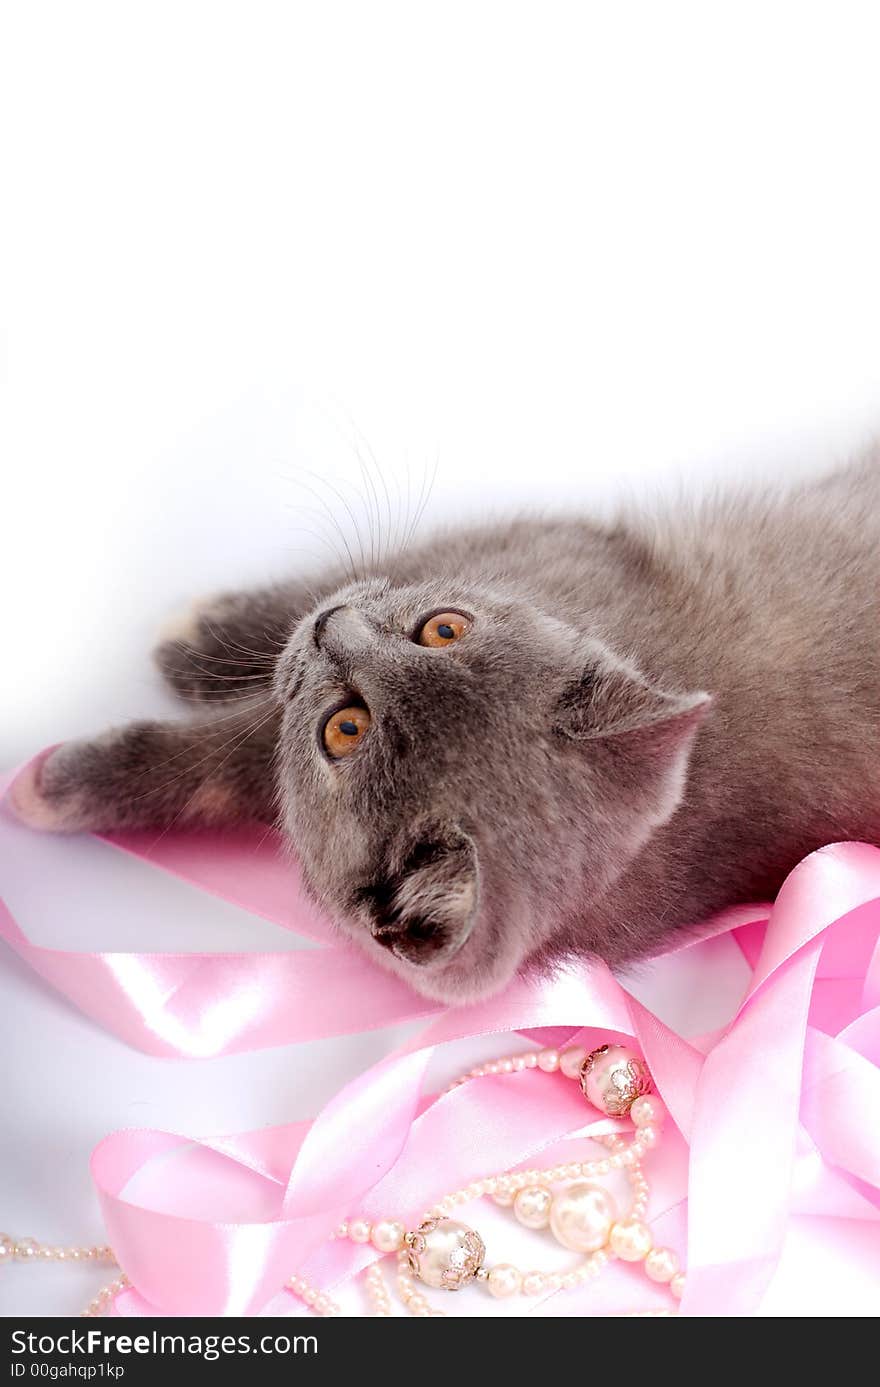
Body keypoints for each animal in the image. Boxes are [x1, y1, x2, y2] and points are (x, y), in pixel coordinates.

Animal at [13, 457, 877, 1009]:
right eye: (444, 626)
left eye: (345, 728)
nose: (333, 626)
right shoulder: (552, 540)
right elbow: (374, 560)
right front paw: (213, 629)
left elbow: (234, 753)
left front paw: (55, 783)